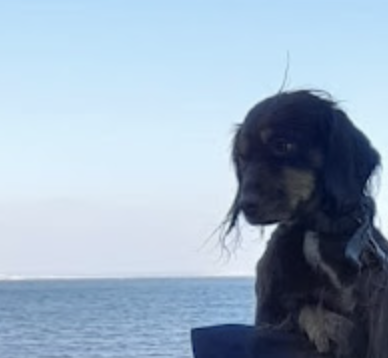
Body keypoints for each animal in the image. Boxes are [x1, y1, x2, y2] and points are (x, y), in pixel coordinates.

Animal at [224, 91, 388, 358]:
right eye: (242, 157)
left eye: (282, 145)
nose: (245, 204)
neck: (319, 230)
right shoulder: (270, 312)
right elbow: (307, 309)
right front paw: (330, 328)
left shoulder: (376, 297)